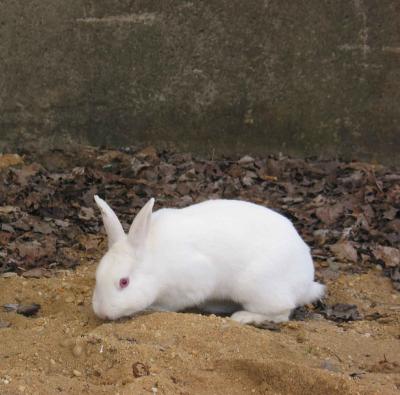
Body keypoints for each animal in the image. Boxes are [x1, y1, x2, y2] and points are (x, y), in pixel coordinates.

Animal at [93, 197, 324, 324]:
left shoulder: (194, 280)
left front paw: (153, 309)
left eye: (124, 282)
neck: (154, 260)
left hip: (258, 287)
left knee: (282, 312)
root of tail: (306, 281)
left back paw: (244, 317)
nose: (102, 313)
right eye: (97, 277)